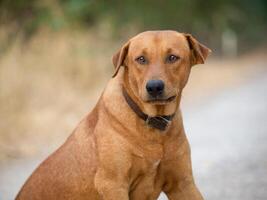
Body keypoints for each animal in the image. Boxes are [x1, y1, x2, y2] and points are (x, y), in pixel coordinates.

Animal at [16, 30, 211, 199]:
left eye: (172, 57)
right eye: (141, 59)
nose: (154, 87)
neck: (152, 122)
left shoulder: (183, 184)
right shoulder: (113, 185)